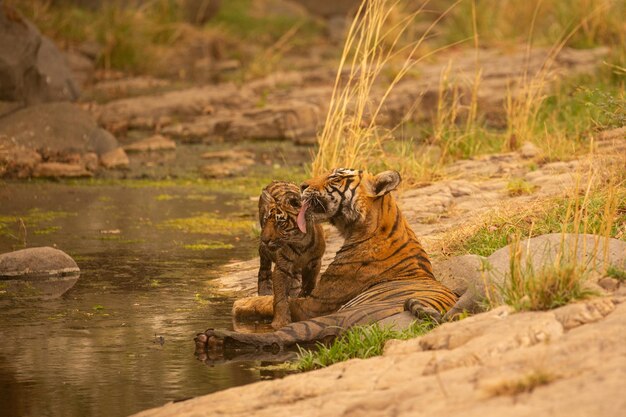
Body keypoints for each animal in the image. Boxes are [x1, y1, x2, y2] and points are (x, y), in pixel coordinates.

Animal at [197, 169, 456, 352]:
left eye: (335, 177)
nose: (302, 185)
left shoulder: (314, 303)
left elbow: (268, 301)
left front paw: (240, 303)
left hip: (332, 317)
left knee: (276, 338)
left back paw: (212, 337)